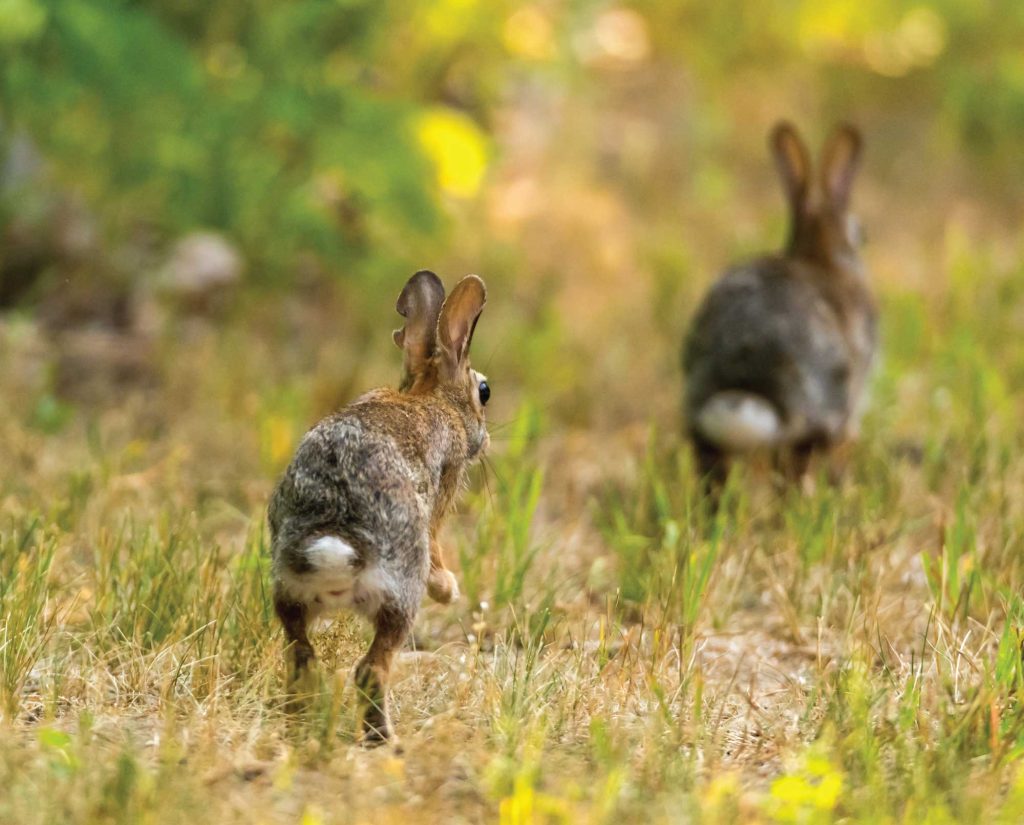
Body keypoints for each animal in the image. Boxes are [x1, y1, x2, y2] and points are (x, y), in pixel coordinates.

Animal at [268, 270, 490, 743]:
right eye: (484, 391)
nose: (483, 439)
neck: (429, 398)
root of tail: (335, 543)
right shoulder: (440, 495)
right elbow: (437, 545)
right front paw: (448, 589)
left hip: (290, 597)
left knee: (300, 660)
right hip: (398, 598)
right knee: (371, 669)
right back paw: (385, 741)